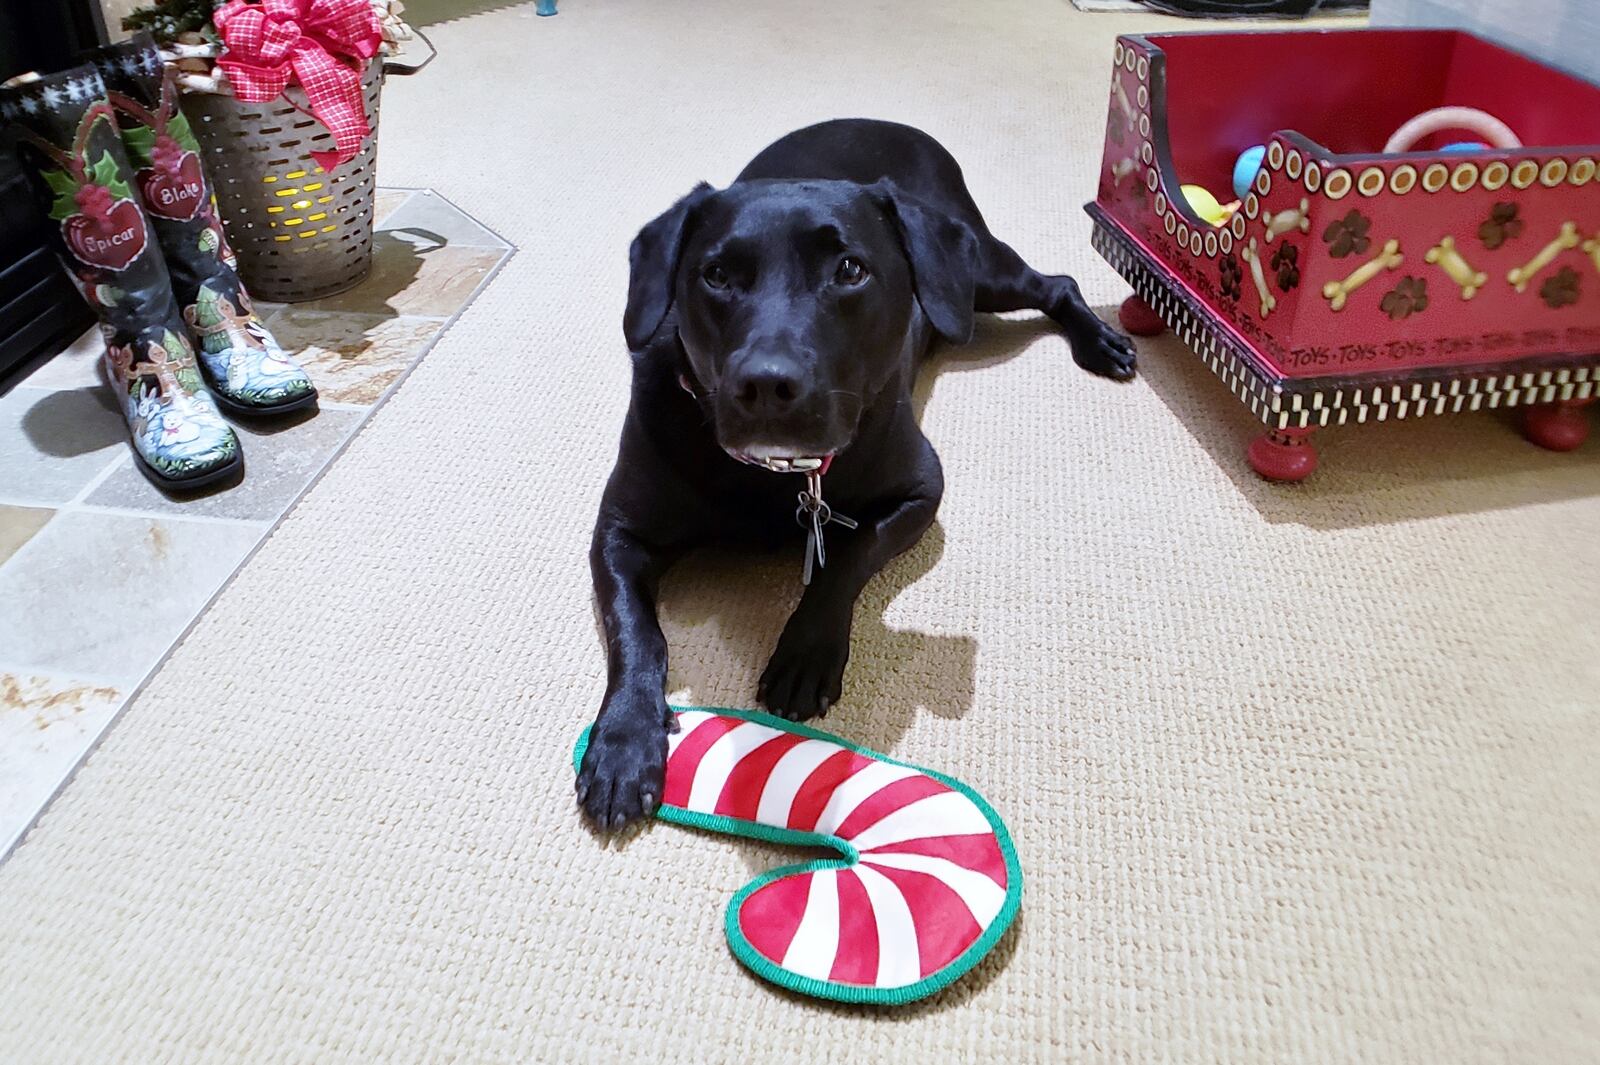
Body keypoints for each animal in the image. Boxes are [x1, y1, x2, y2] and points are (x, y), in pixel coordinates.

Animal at [576, 118, 1139, 831]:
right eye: (716, 275)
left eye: (850, 270)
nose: (766, 384)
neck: (775, 472)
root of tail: (890, 122)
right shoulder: (619, 532)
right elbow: (637, 632)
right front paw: (625, 742)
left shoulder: (923, 490)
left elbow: (849, 555)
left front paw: (806, 653)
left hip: (978, 273)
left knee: (1055, 283)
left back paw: (1102, 342)